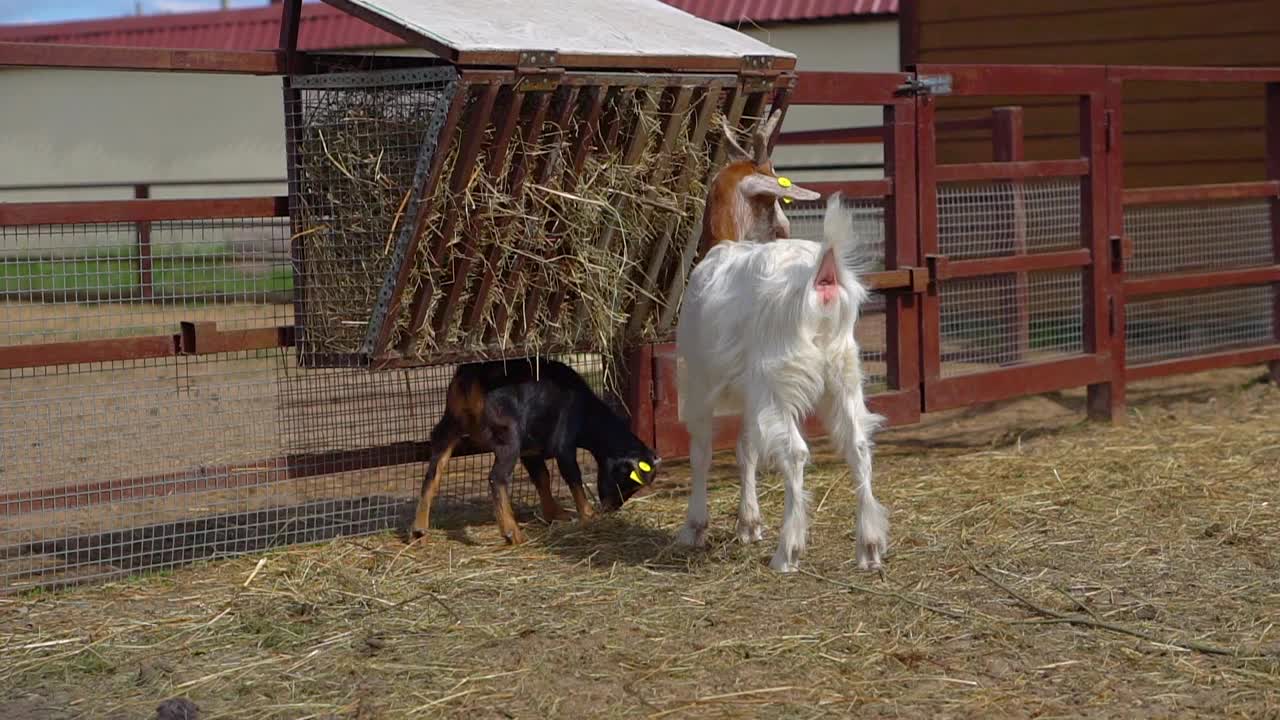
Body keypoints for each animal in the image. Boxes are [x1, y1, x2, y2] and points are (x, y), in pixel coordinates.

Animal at [670, 190, 890, 571]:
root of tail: (822, 275)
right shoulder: (749, 394)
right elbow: (746, 449)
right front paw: (749, 524)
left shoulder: (698, 383)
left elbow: (702, 452)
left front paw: (695, 527)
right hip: (843, 374)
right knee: (858, 446)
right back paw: (870, 547)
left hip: (777, 379)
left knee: (795, 453)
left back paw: (788, 551)